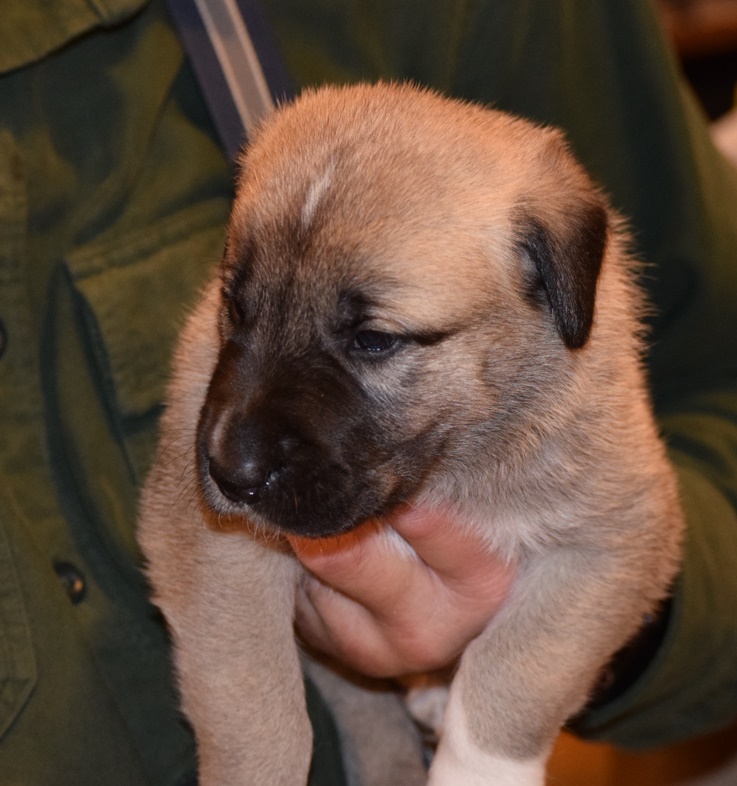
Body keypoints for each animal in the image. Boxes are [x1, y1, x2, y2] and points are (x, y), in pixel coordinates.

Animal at [138, 83, 684, 785]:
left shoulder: (616, 542)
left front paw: (475, 771)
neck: (451, 465)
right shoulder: (211, 551)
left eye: (374, 340)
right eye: (235, 305)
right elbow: (255, 709)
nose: (230, 472)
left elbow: (517, 670)